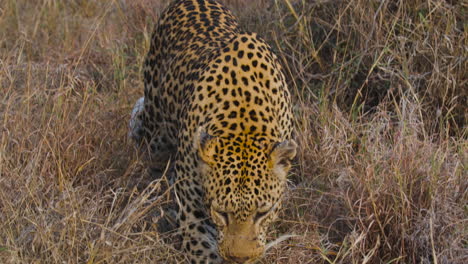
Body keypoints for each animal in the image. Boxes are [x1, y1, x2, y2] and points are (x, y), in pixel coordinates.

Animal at [128, 1, 296, 262]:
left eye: (263, 213)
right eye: (221, 212)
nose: (240, 259)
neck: (244, 119)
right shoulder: (192, 210)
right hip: (157, 130)